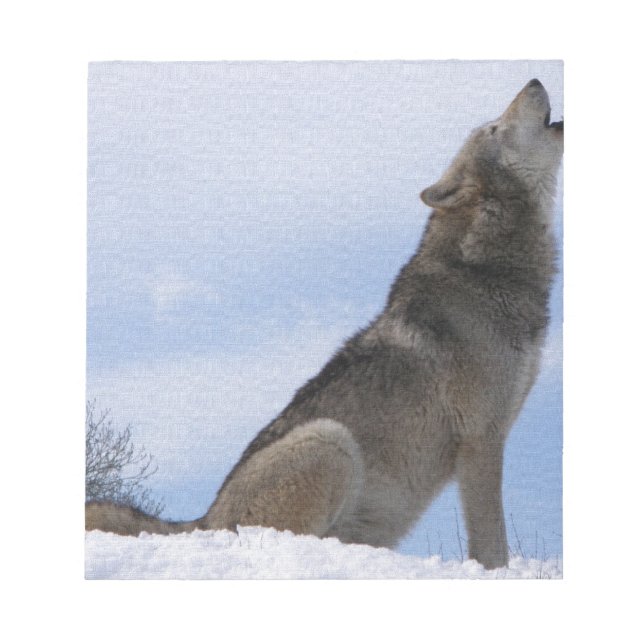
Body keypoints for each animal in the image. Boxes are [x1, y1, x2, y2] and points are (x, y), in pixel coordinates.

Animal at [86, 79, 563, 570]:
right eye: (493, 128)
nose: (534, 81)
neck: (486, 268)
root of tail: (203, 520)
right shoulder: (481, 439)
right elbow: (492, 543)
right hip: (329, 440)